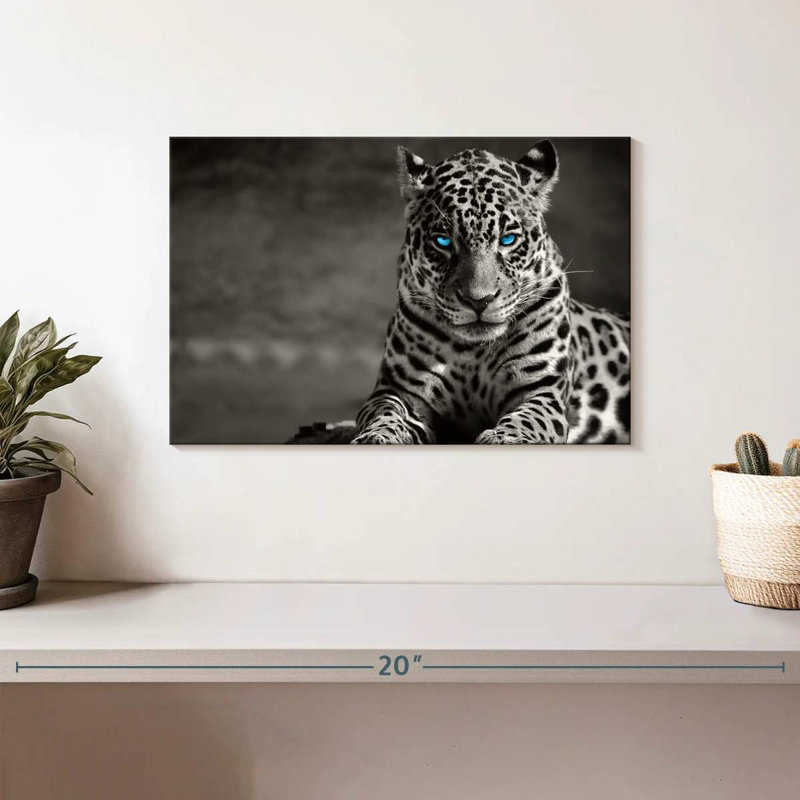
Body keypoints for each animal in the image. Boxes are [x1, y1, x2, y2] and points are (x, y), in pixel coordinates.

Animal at [352, 140, 630, 445]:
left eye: (508, 239)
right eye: (443, 241)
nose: (478, 300)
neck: (473, 351)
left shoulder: (542, 390)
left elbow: (527, 420)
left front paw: (504, 438)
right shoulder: (398, 389)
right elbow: (385, 414)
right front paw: (376, 437)